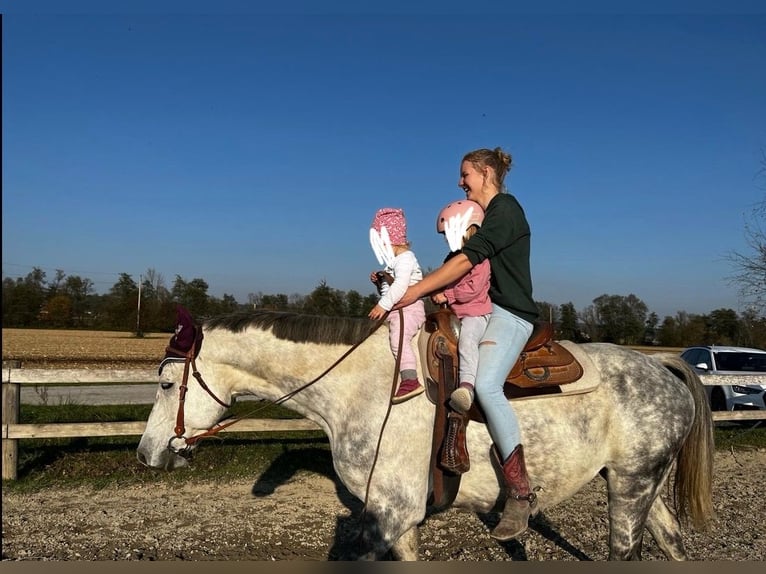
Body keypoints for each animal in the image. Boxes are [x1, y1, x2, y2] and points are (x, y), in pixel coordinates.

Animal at [136, 310, 712, 564]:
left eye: (165, 383)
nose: (146, 454)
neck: (365, 387)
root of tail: (662, 367)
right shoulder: (397, 518)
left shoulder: (390, 513)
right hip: (639, 485)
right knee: (672, 542)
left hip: (632, 486)